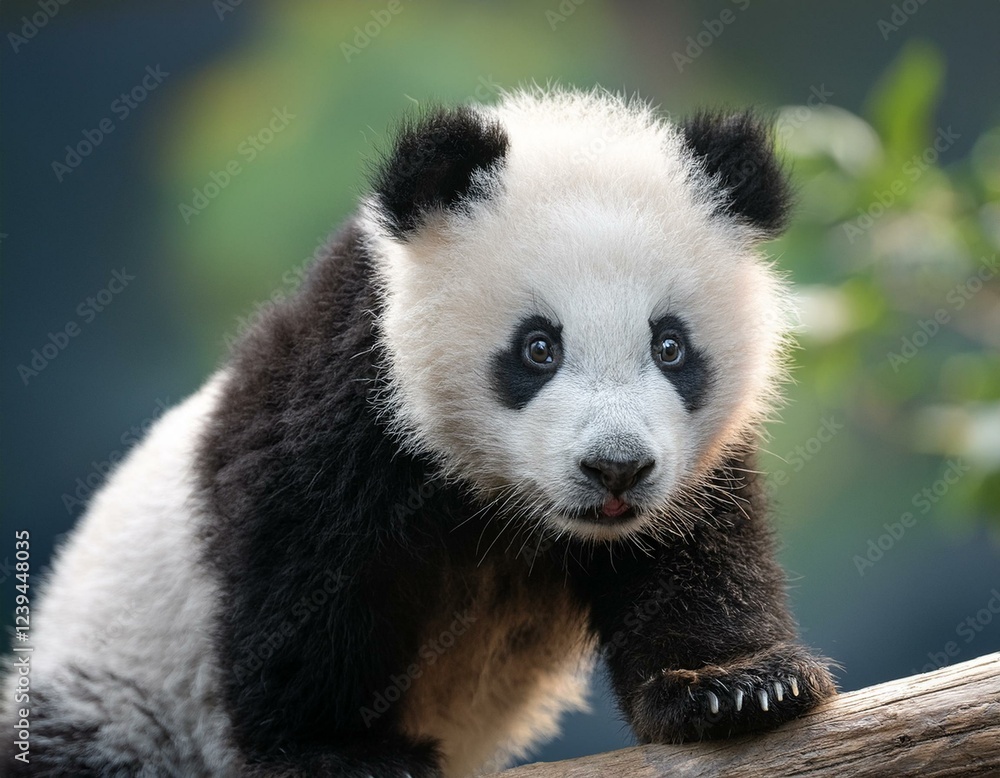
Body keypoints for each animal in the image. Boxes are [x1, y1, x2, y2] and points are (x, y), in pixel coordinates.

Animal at [3, 88, 836, 777]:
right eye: (538, 348)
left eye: (670, 347)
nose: (616, 470)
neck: (500, 499)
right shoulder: (347, 398)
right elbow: (306, 572)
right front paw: (340, 753)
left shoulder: (695, 469)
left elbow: (694, 558)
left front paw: (737, 687)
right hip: (110, 699)